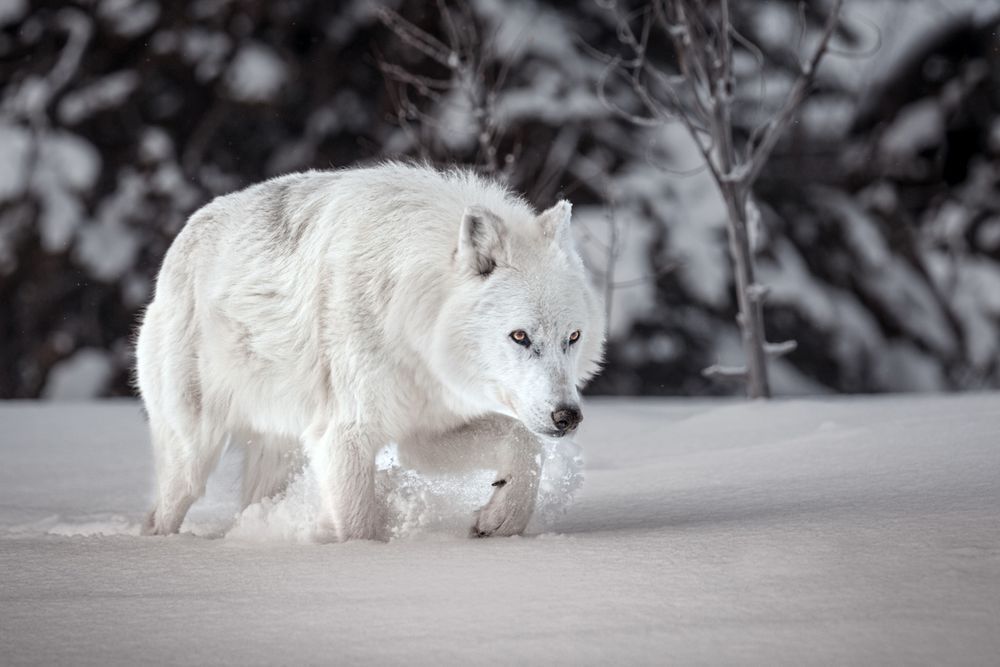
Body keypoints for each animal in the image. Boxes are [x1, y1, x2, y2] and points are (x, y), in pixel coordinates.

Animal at [135, 162, 605, 540]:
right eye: (520, 336)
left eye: (573, 337)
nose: (568, 416)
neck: (408, 319)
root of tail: (183, 237)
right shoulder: (345, 436)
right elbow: (360, 527)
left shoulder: (424, 434)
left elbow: (523, 441)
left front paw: (504, 518)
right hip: (193, 450)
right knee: (164, 510)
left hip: (280, 452)